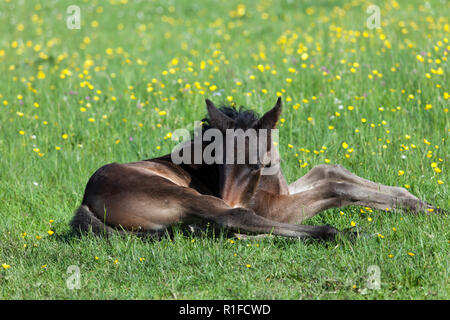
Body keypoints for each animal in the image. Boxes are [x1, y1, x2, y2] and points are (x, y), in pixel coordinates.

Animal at [72, 97, 444, 240]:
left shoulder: (286, 191)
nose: (231, 197)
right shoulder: (274, 208)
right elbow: (336, 187)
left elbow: (331, 170)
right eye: (217, 164)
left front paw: (426, 207)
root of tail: (86, 202)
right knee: (231, 220)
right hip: (181, 195)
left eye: (258, 163)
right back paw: (338, 233)